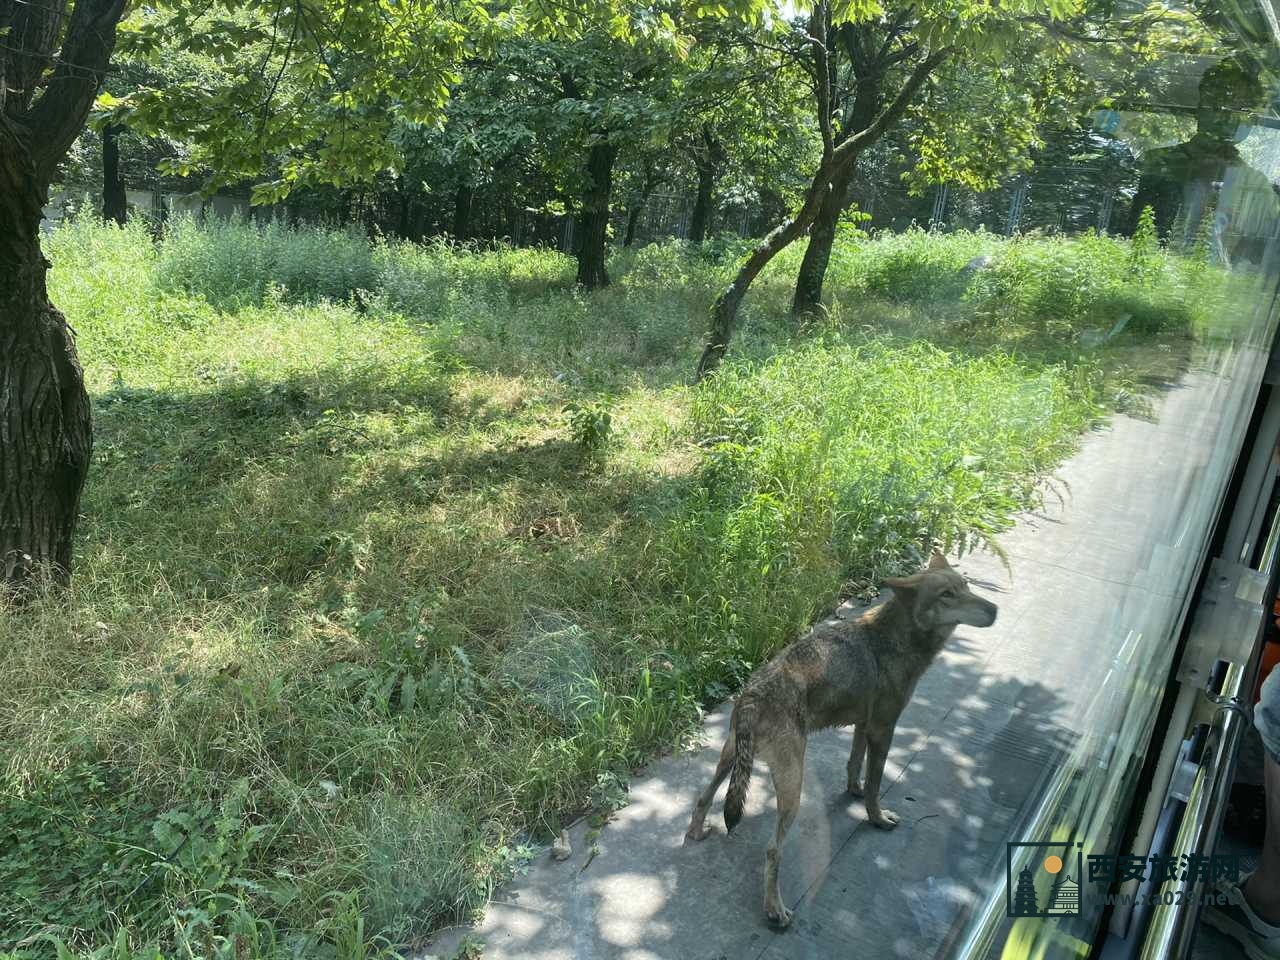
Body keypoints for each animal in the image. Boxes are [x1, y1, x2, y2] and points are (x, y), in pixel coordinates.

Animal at [686, 552, 993, 926]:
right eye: (947, 595)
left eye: (966, 587)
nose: (994, 609)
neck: (894, 638)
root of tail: (752, 694)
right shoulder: (883, 729)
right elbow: (875, 785)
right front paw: (877, 819)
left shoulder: (863, 725)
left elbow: (854, 765)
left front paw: (853, 790)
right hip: (792, 789)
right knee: (772, 851)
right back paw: (776, 909)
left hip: (729, 759)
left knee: (703, 798)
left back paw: (697, 834)